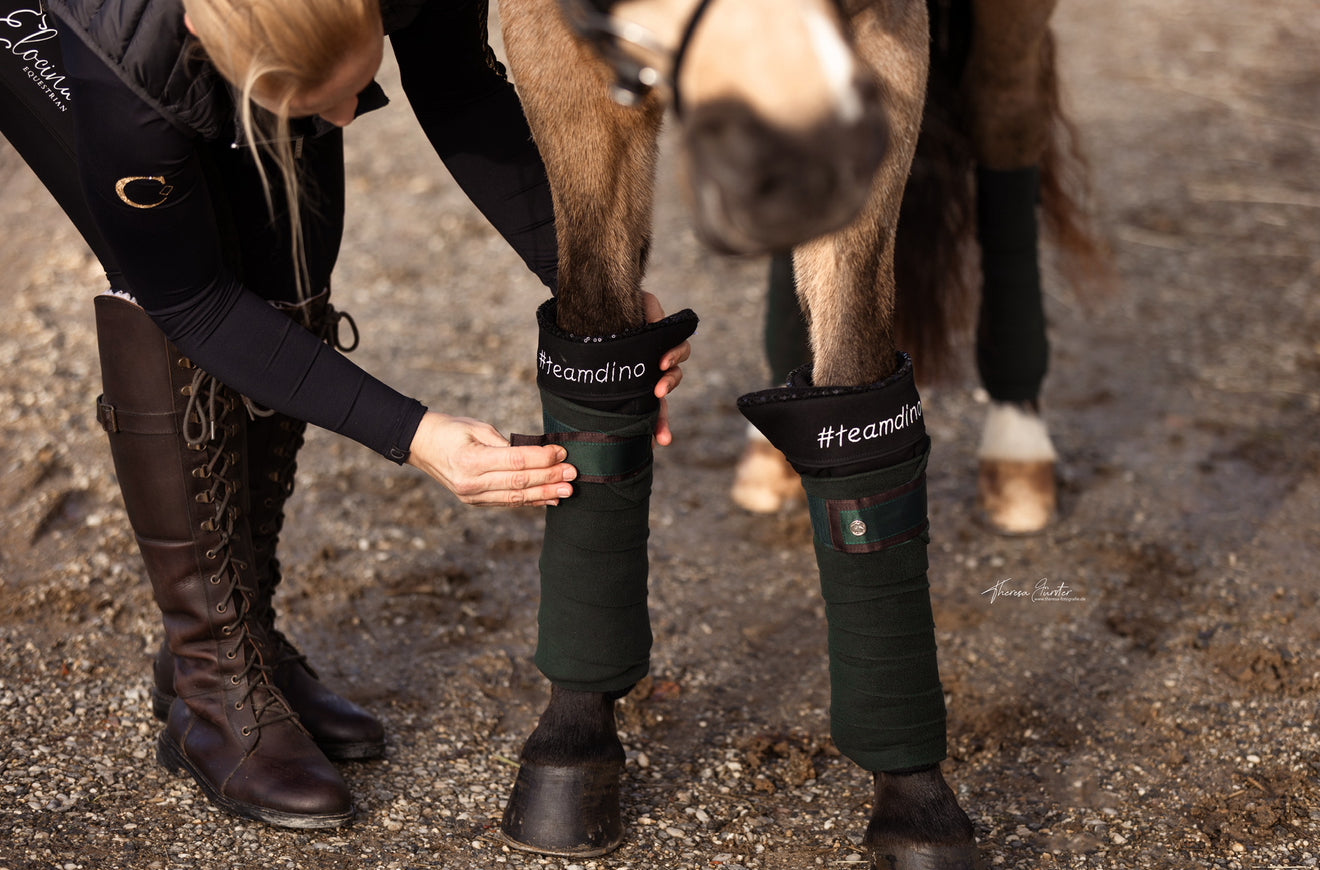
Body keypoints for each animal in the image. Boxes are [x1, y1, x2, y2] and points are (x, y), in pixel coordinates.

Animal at [492, 0, 1099, 866]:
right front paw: (574, 734)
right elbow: (596, 335)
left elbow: (857, 372)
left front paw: (918, 807)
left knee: (1005, 122)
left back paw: (1018, 441)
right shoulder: (550, 39)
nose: (801, 155)